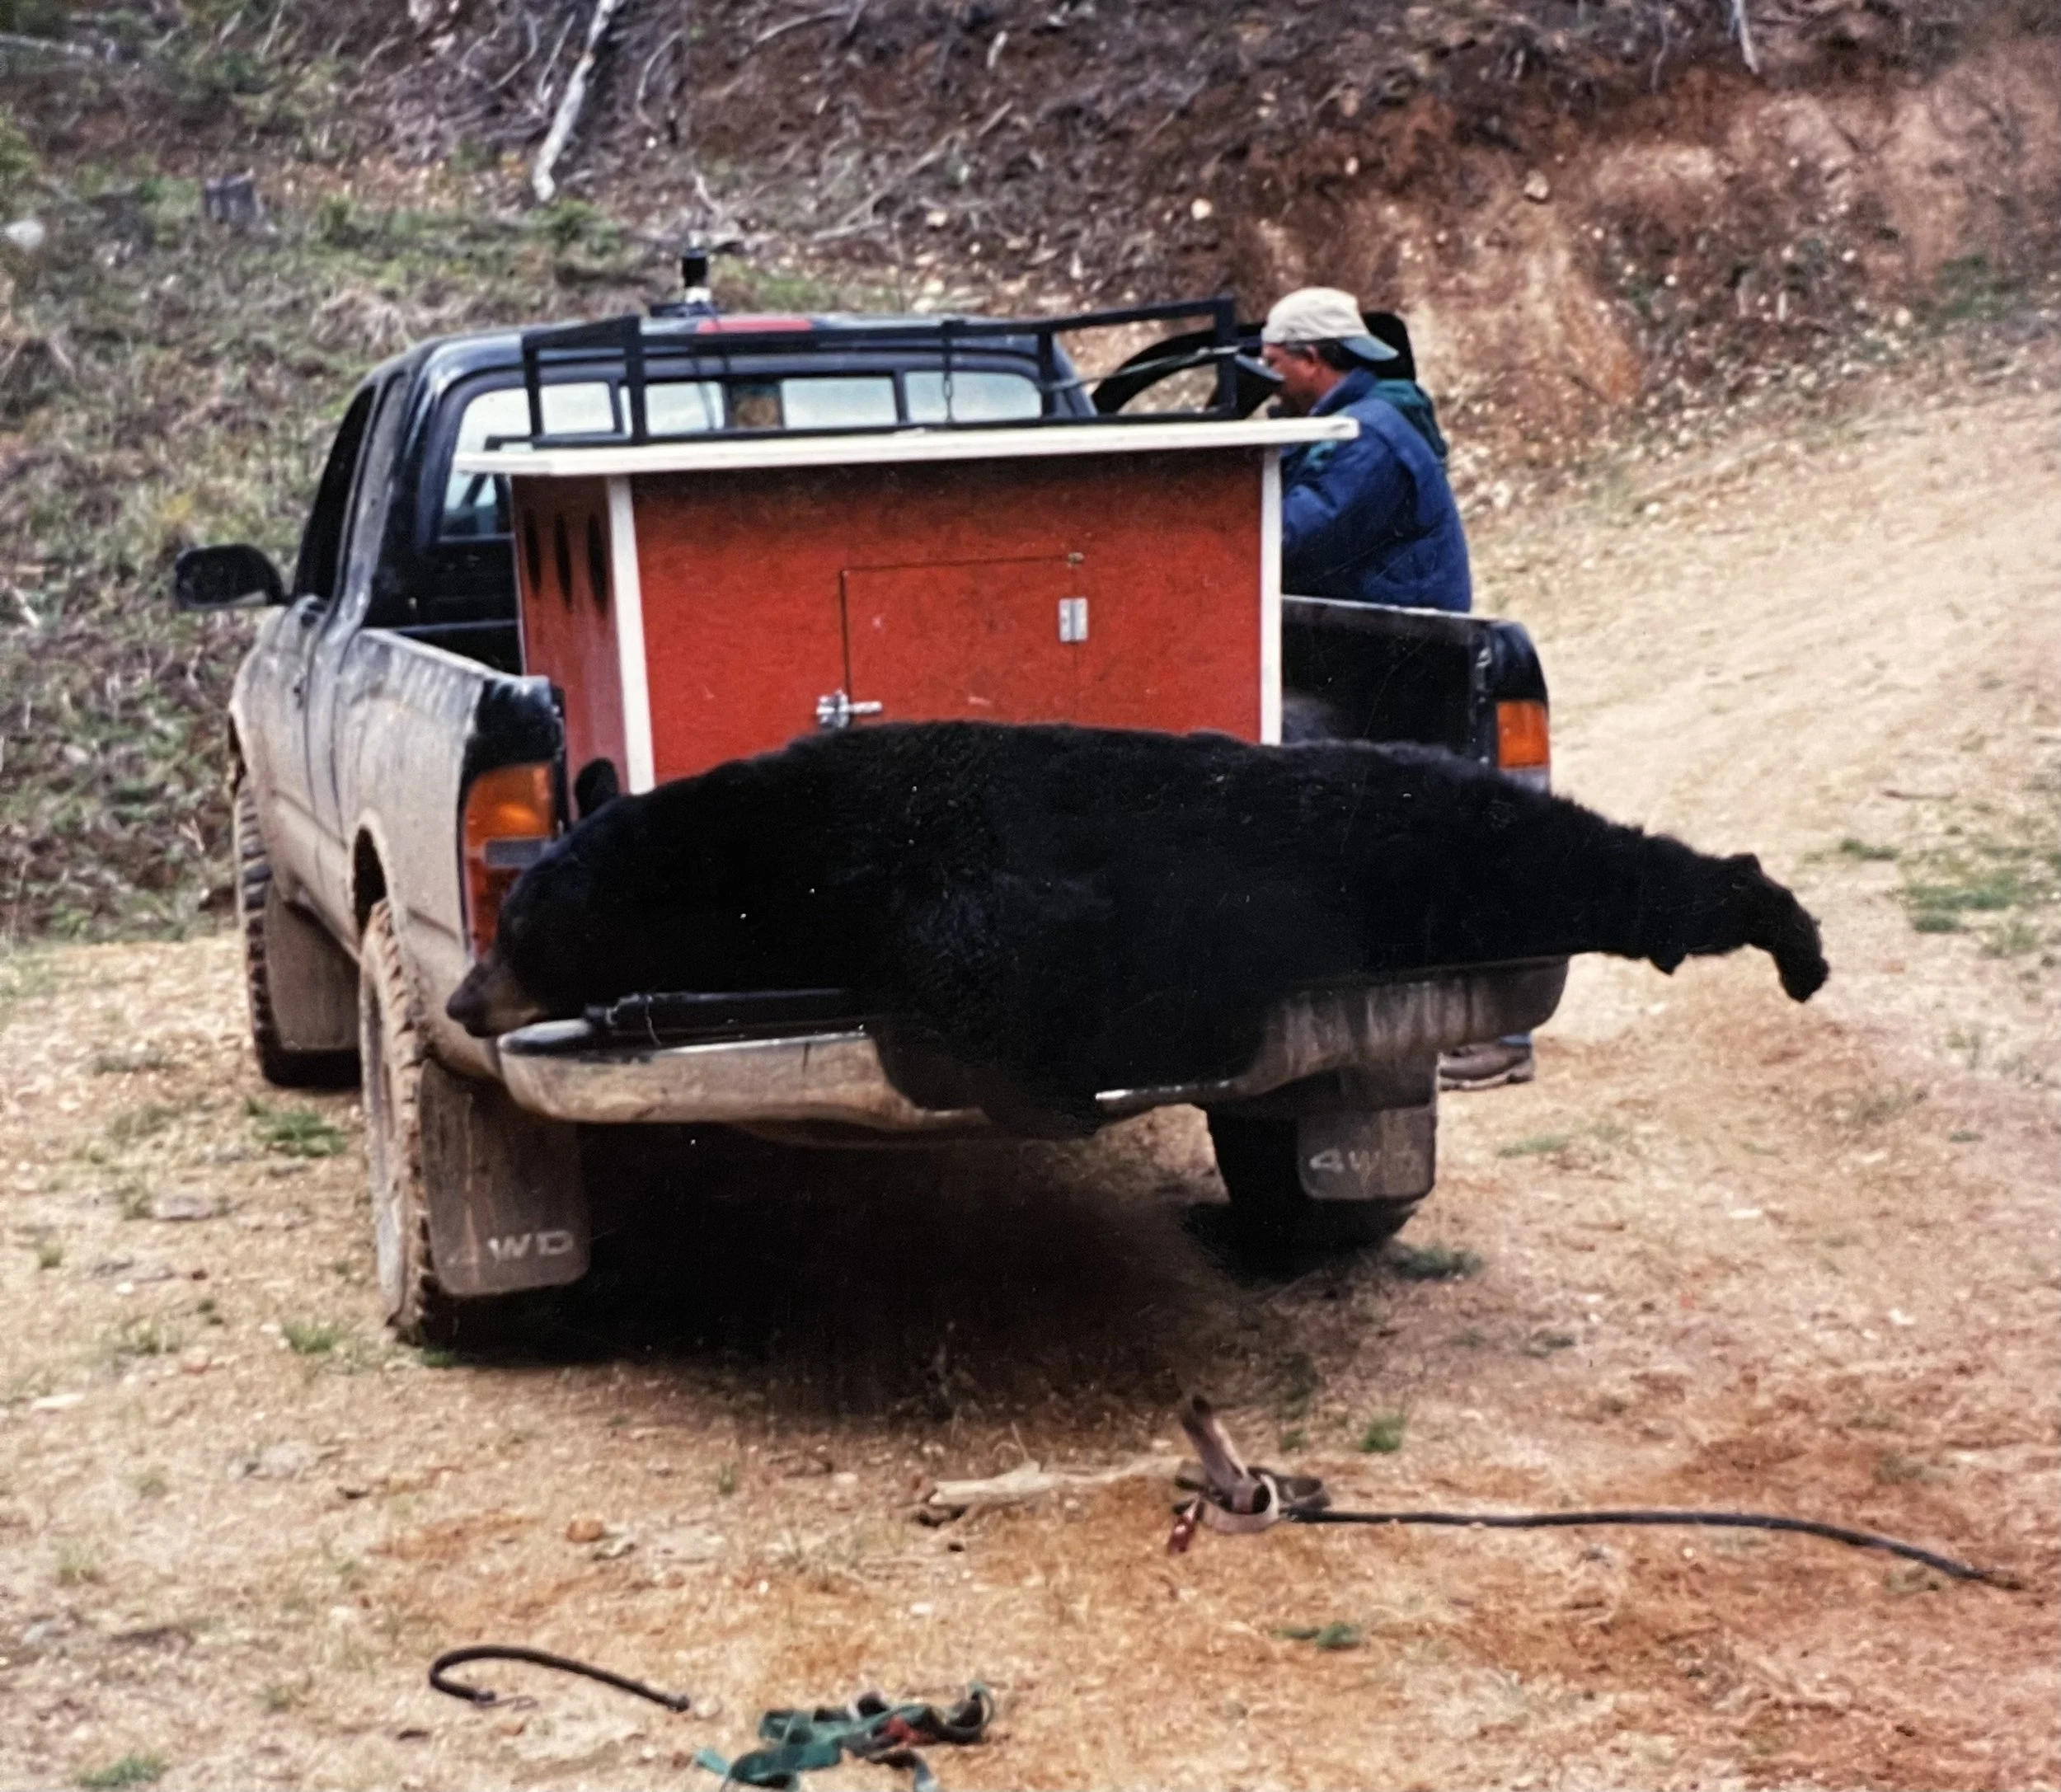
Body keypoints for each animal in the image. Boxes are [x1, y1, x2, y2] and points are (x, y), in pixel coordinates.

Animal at [448, 720, 1827, 1130]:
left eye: (517, 928)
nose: (462, 997)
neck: (773, 853)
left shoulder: (937, 870)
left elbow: (998, 968)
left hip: (1432, 850)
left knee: (1602, 862)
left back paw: (1785, 928)